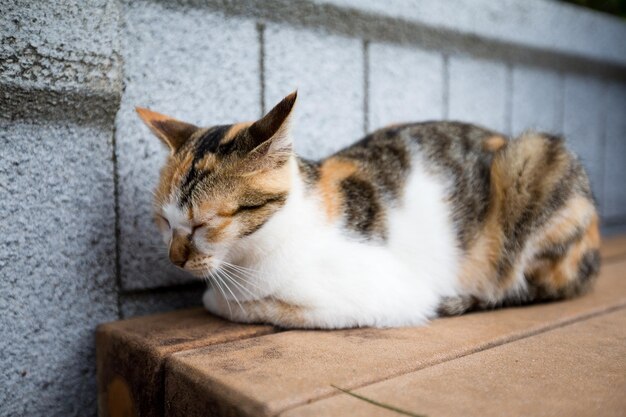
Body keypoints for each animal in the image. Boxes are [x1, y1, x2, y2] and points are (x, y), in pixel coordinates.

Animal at [138, 91, 600, 328]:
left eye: (204, 224)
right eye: (163, 222)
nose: (175, 260)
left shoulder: (384, 294)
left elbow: (246, 304)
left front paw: (225, 299)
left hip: (536, 159)